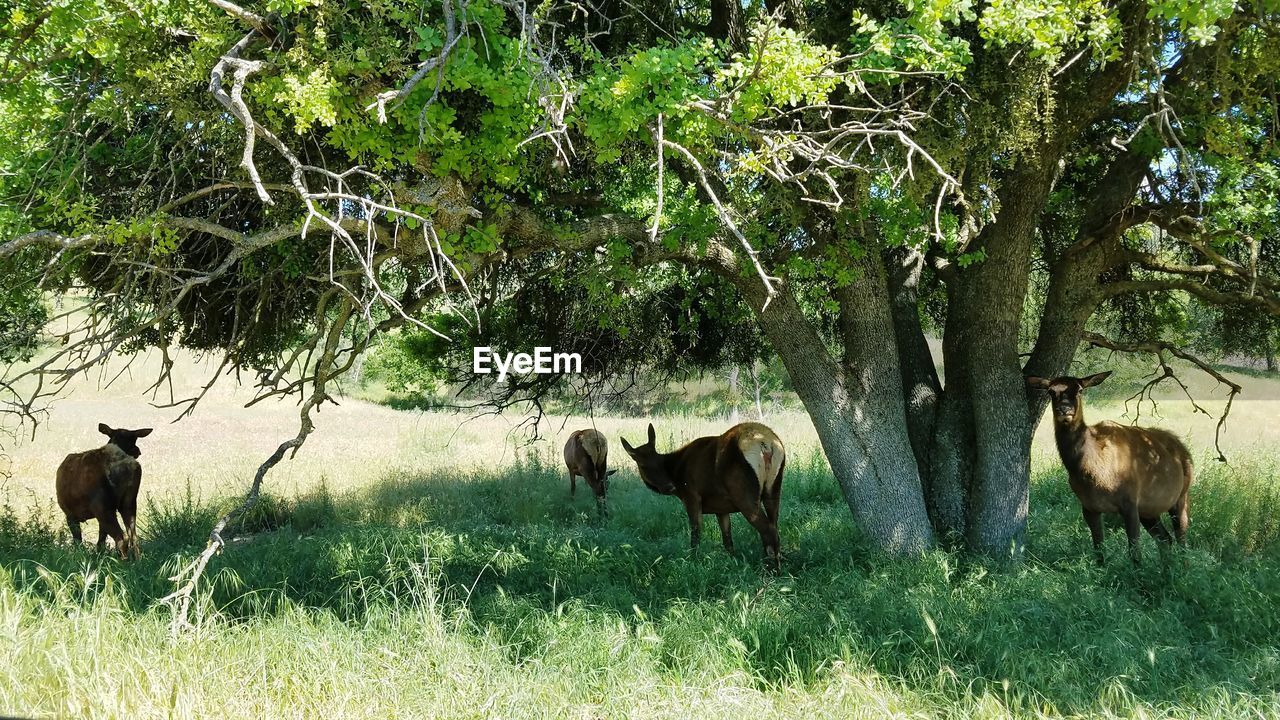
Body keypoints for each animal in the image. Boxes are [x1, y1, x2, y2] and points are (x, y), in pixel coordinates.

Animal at [56, 422, 152, 558]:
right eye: (133, 439)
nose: (138, 451)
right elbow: (101, 540)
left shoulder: (69, 513)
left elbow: (78, 540)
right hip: (130, 501)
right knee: (133, 536)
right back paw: (138, 560)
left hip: (102, 505)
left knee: (122, 537)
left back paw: (123, 561)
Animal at [616, 420, 783, 566]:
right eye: (643, 465)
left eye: (659, 461)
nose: (669, 486)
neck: (676, 473)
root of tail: (765, 444)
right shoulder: (721, 507)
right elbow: (727, 538)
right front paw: (732, 561)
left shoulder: (691, 496)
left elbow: (695, 533)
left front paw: (692, 560)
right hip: (773, 489)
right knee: (774, 527)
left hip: (744, 495)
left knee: (768, 530)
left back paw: (771, 570)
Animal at [1024, 371, 1192, 563]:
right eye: (1051, 391)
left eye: (1080, 389)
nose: (1065, 409)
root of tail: (1184, 451)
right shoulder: (1089, 507)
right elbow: (1099, 551)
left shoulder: (1129, 502)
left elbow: (1135, 554)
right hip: (1149, 510)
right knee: (1165, 539)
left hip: (1181, 496)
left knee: (1181, 539)